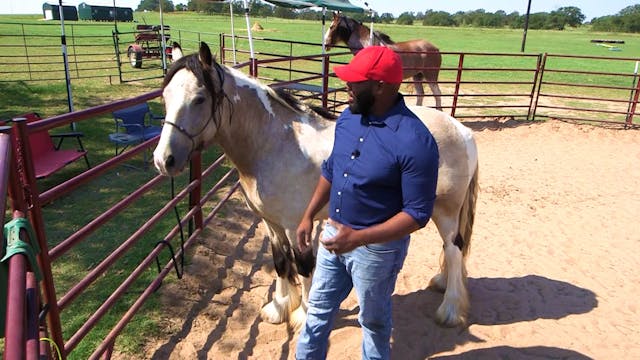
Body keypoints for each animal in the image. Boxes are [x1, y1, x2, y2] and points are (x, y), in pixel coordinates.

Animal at [152, 42, 478, 330]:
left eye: (199, 99)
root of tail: (461, 130)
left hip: (444, 211)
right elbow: (280, 262)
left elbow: (303, 266)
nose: (163, 160)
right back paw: (442, 283)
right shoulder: (271, 223)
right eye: (165, 96)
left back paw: (450, 310)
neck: (274, 144)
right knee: (453, 249)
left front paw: (303, 315)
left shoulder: (296, 225)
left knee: (454, 248)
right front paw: (279, 308)